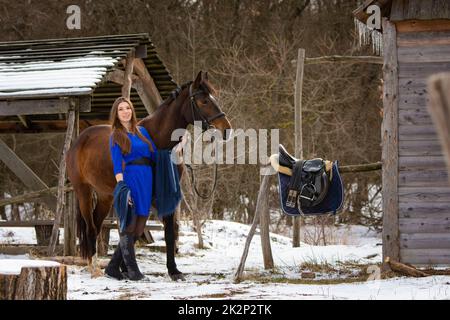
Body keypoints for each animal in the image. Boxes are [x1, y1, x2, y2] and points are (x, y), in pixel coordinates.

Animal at [67, 72, 232, 280]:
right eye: (203, 101)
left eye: (213, 98)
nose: (226, 129)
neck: (157, 142)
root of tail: (80, 139)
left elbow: (167, 232)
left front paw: (173, 271)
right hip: (84, 192)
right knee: (90, 227)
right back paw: (94, 268)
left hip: (105, 196)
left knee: (96, 226)